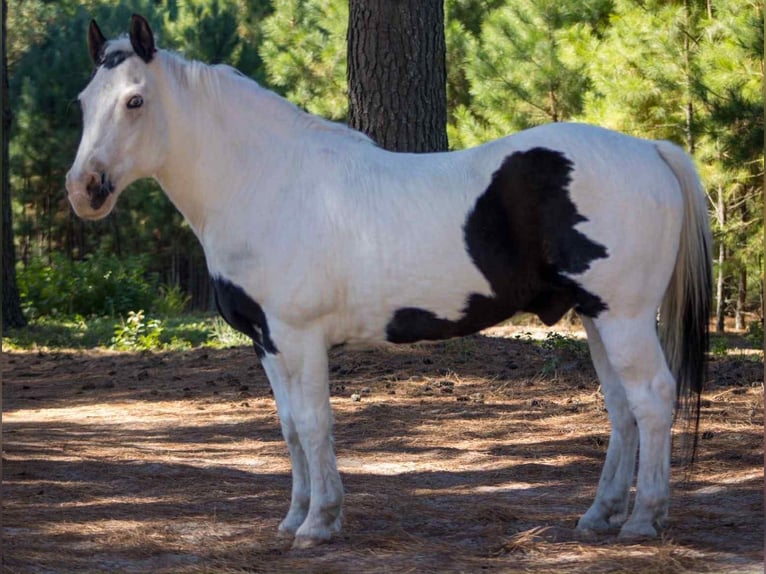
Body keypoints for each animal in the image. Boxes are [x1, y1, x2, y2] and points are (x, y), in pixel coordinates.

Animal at [66, 15, 712, 549]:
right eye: (83, 101)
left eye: (135, 100)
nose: (84, 190)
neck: (268, 181)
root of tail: (650, 150)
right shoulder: (268, 343)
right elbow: (290, 429)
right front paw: (294, 518)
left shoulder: (299, 338)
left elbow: (315, 423)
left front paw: (320, 523)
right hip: (596, 316)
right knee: (622, 409)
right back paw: (600, 515)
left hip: (624, 316)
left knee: (652, 398)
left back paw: (642, 519)